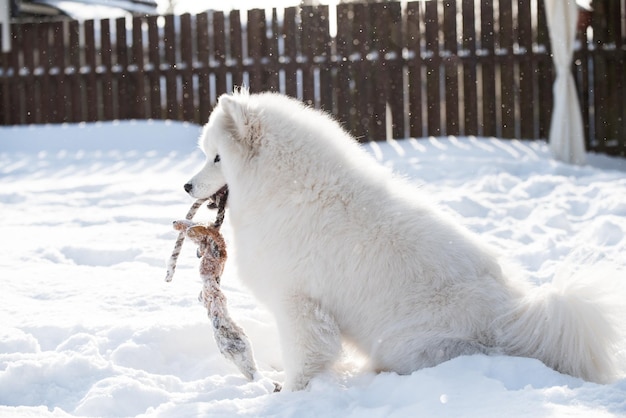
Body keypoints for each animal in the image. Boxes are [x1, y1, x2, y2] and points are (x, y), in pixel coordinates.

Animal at [184, 89, 620, 392]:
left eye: (216, 158)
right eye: (206, 154)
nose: (186, 185)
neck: (287, 187)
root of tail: (517, 321)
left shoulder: (298, 303)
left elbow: (304, 359)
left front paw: (289, 395)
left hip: (404, 340)